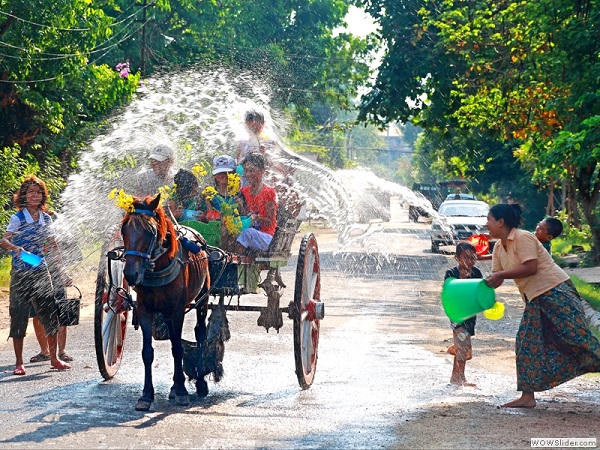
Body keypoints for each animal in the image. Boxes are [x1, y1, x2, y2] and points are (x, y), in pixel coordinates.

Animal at [119, 194, 211, 412]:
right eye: (123, 229)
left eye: (150, 231)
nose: (130, 274)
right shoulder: (145, 310)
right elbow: (147, 353)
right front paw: (146, 395)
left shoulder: (177, 311)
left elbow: (177, 350)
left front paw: (183, 392)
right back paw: (173, 387)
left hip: (203, 298)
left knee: (200, 333)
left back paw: (200, 383)